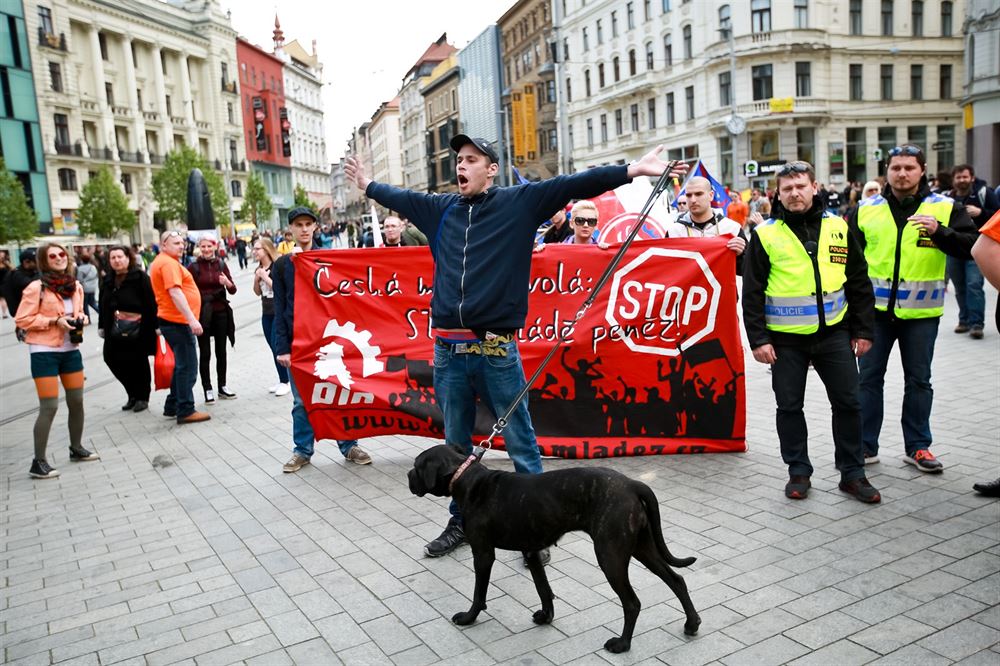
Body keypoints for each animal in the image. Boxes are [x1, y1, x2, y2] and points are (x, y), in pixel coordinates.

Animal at [408, 444, 704, 652]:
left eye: (417, 466)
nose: (409, 475)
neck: (467, 478)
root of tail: (633, 484)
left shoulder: (483, 554)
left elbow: (479, 593)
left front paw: (469, 617)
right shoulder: (531, 550)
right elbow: (543, 588)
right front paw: (546, 616)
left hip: (610, 555)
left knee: (632, 602)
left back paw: (622, 644)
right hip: (642, 548)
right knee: (676, 580)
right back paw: (691, 624)